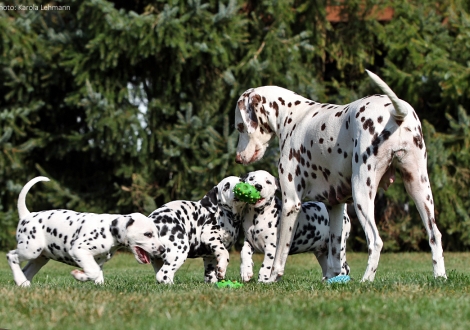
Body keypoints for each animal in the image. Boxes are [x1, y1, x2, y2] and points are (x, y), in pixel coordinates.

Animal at [4, 175, 163, 286]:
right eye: (148, 234)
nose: (162, 250)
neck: (108, 231)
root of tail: (27, 215)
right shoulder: (79, 250)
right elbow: (93, 272)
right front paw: (79, 275)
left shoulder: (97, 261)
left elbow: (96, 273)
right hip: (30, 249)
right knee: (11, 256)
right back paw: (20, 280)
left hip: (40, 258)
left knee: (26, 270)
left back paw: (23, 283)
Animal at [233, 71, 446, 282]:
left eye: (240, 127)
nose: (237, 158)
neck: (293, 116)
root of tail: (394, 112)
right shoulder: (335, 205)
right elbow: (335, 257)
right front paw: (333, 280)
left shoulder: (291, 203)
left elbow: (279, 254)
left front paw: (271, 278)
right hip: (419, 190)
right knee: (434, 235)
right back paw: (440, 276)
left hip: (362, 193)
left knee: (375, 241)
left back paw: (366, 280)